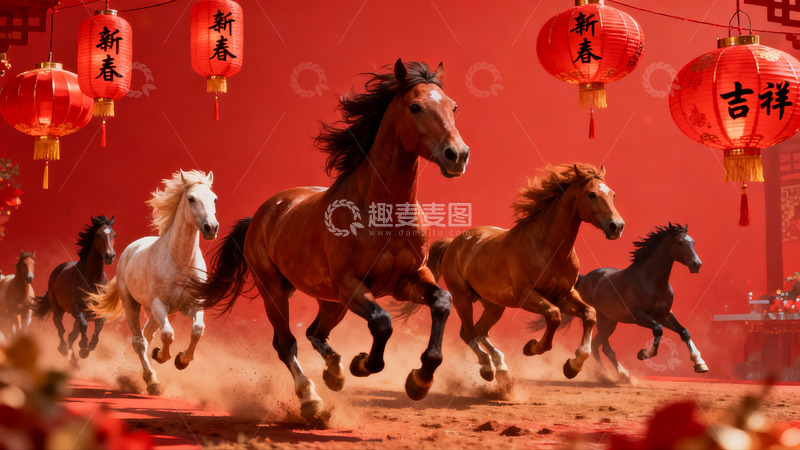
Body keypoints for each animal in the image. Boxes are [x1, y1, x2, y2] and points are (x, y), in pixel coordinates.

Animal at [33, 216, 116, 361]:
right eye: (98, 234)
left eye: (114, 235)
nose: (109, 256)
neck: (92, 278)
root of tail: (58, 269)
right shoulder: (76, 309)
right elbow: (83, 326)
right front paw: (83, 347)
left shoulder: (99, 312)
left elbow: (97, 331)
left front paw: (86, 349)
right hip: (57, 309)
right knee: (61, 328)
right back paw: (63, 349)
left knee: (71, 335)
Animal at [88, 170, 218, 395]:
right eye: (191, 198)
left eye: (214, 198)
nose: (211, 228)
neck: (180, 262)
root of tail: (129, 249)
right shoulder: (159, 304)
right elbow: (168, 335)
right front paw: (162, 356)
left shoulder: (192, 305)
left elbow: (197, 329)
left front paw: (181, 360)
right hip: (133, 305)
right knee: (139, 341)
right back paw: (152, 381)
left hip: (165, 314)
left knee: (147, 336)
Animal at [189, 60, 469, 421]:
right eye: (415, 107)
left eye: (453, 106)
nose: (457, 155)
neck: (384, 215)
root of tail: (263, 213)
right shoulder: (351, 285)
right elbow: (382, 322)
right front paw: (363, 364)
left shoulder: (408, 279)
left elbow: (442, 302)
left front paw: (419, 381)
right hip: (276, 292)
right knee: (287, 344)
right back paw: (312, 400)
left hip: (332, 302)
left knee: (315, 333)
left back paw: (334, 373)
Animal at [417, 164, 624, 384]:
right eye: (591, 194)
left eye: (613, 194)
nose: (617, 226)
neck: (549, 248)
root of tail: (452, 244)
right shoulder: (526, 296)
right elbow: (554, 316)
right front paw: (531, 347)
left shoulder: (564, 295)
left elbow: (589, 314)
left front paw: (573, 366)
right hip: (462, 298)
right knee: (469, 333)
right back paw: (488, 368)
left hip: (494, 305)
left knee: (479, 331)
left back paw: (501, 367)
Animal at [574, 223, 707, 379]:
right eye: (680, 242)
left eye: (693, 242)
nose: (697, 264)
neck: (651, 282)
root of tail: (584, 279)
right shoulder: (639, 316)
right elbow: (658, 329)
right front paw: (644, 353)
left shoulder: (664, 315)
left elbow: (684, 332)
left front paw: (700, 363)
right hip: (601, 319)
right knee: (604, 347)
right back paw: (615, 374)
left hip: (611, 321)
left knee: (597, 344)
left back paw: (611, 373)